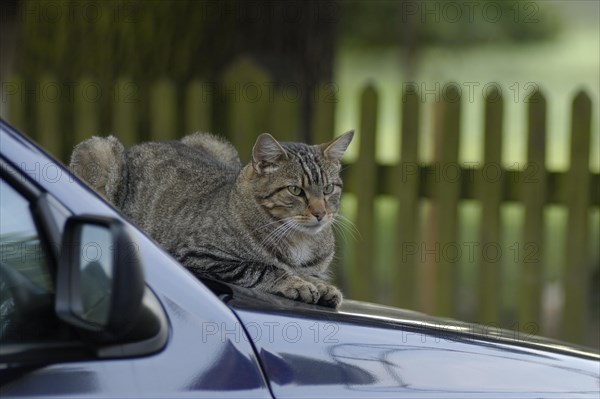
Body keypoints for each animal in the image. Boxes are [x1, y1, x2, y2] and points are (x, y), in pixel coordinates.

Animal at [69, 132, 352, 310]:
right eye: (296, 190)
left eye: (328, 189)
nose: (321, 213)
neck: (300, 239)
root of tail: (135, 145)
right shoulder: (197, 255)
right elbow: (263, 267)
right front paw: (296, 282)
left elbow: (310, 274)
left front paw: (321, 285)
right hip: (99, 150)